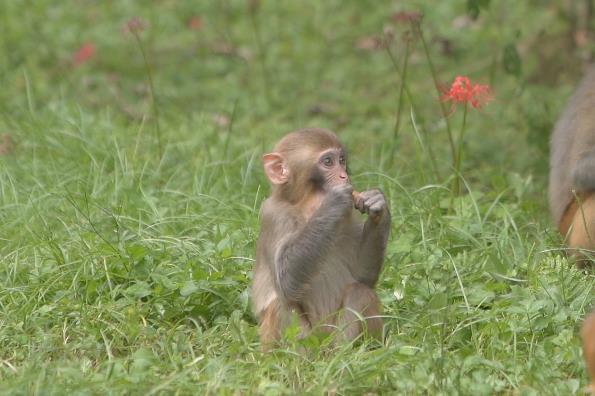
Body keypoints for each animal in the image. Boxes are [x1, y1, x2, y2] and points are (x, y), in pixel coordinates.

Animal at [251, 128, 392, 348]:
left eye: (341, 160)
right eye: (327, 162)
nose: (344, 176)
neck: (308, 209)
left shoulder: (347, 218)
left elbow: (362, 277)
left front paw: (377, 204)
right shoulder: (274, 216)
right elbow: (286, 280)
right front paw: (334, 200)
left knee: (359, 291)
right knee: (282, 303)